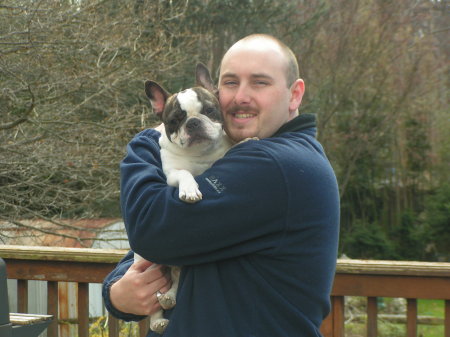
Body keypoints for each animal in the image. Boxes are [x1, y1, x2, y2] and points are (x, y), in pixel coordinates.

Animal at [135, 63, 234, 334]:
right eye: (174, 120)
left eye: (210, 111)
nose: (193, 123)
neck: (200, 155)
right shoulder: (171, 175)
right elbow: (184, 173)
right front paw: (190, 190)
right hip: (149, 263)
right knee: (156, 301)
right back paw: (158, 320)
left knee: (176, 283)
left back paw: (170, 295)